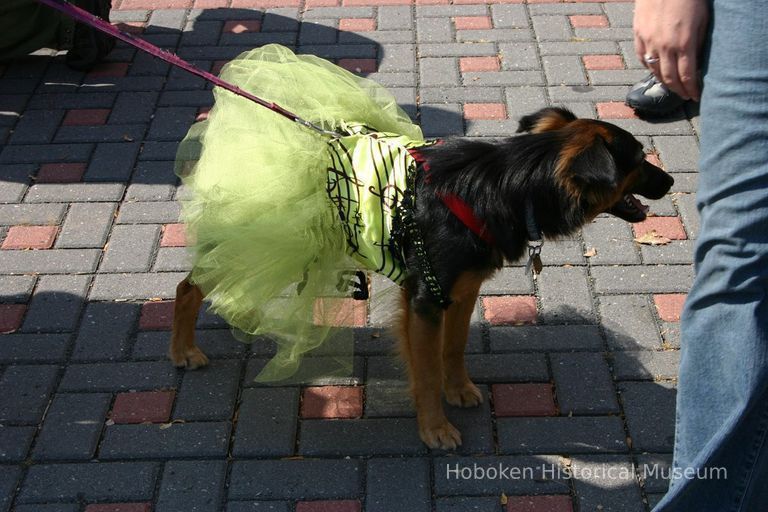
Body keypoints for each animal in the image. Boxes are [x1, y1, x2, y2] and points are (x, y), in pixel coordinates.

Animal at [168, 107, 672, 448]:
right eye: (637, 161)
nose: (670, 182)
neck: (505, 185)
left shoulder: (462, 291)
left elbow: (453, 348)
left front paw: (459, 389)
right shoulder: (426, 298)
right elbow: (425, 370)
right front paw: (434, 427)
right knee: (187, 286)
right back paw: (184, 350)